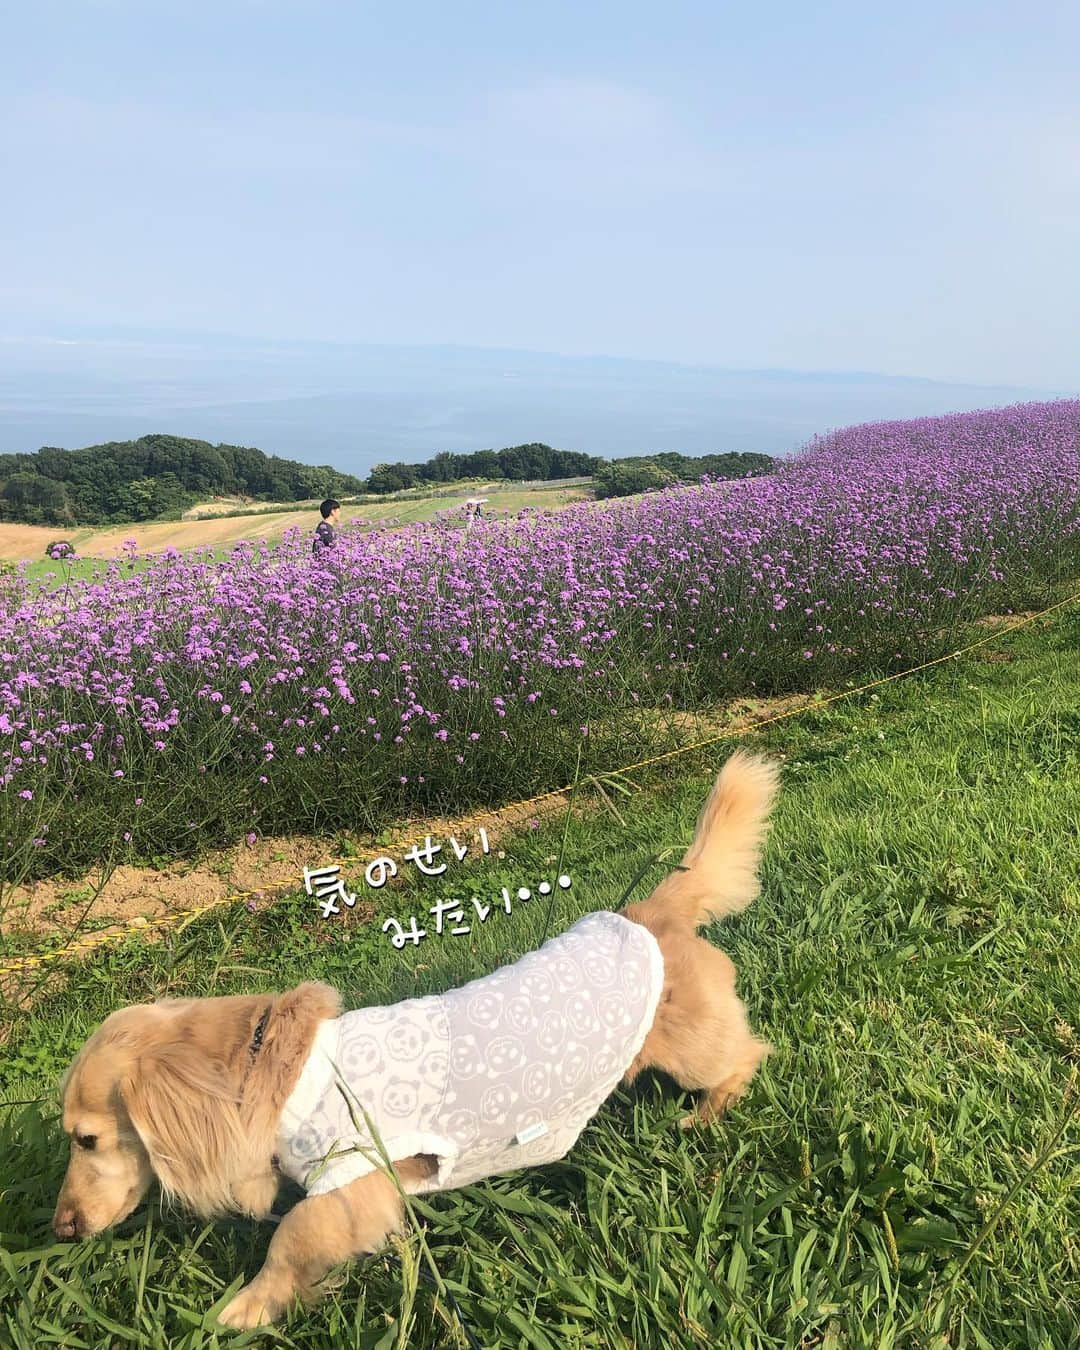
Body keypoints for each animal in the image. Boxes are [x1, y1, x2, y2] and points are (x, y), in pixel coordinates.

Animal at [52, 750, 777, 1328]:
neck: (275, 1079)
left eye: (87, 1140)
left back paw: (708, 1113)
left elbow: (295, 1237)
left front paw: (247, 1306)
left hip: (693, 1049)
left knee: (746, 1056)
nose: (60, 1229)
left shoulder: (352, 1178)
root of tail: (648, 914)